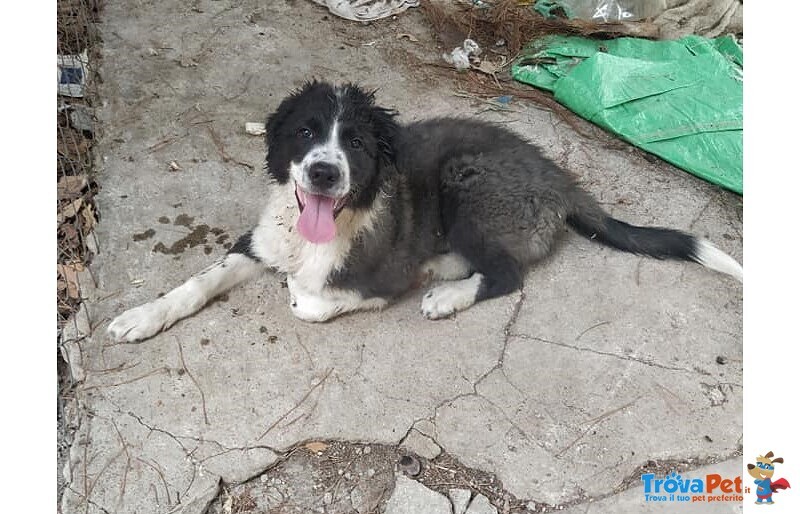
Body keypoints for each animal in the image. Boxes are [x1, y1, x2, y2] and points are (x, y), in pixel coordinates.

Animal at [108, 80, 743, 343]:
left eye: (356, 143)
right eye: (305, 132)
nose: (324, 172)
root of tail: (560, 177)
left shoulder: (379, 277)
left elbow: (308, 303)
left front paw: (301, 289)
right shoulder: (261, 240)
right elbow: (198, 281)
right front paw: (142, 316)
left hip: (467, 184)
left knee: (507, 274)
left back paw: (447, 289)